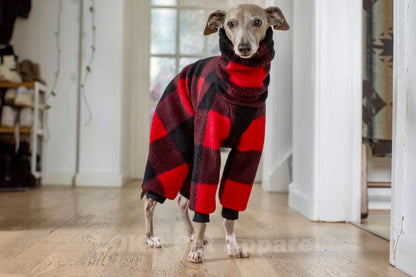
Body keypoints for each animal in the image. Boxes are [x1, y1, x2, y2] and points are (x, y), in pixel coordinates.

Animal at [141, 4, 288, 264]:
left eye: (258, 21)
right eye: (230, 23)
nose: (243, 48)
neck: (241, 88)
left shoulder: (248, 151)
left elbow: (230, 209)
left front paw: (232, 247)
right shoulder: (208, 146)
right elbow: (203, 204)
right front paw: (197, 250)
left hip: (192, 156)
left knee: (182, 201)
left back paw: (191, 235)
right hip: (174, 149)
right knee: (150, 200)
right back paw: (151, 238)